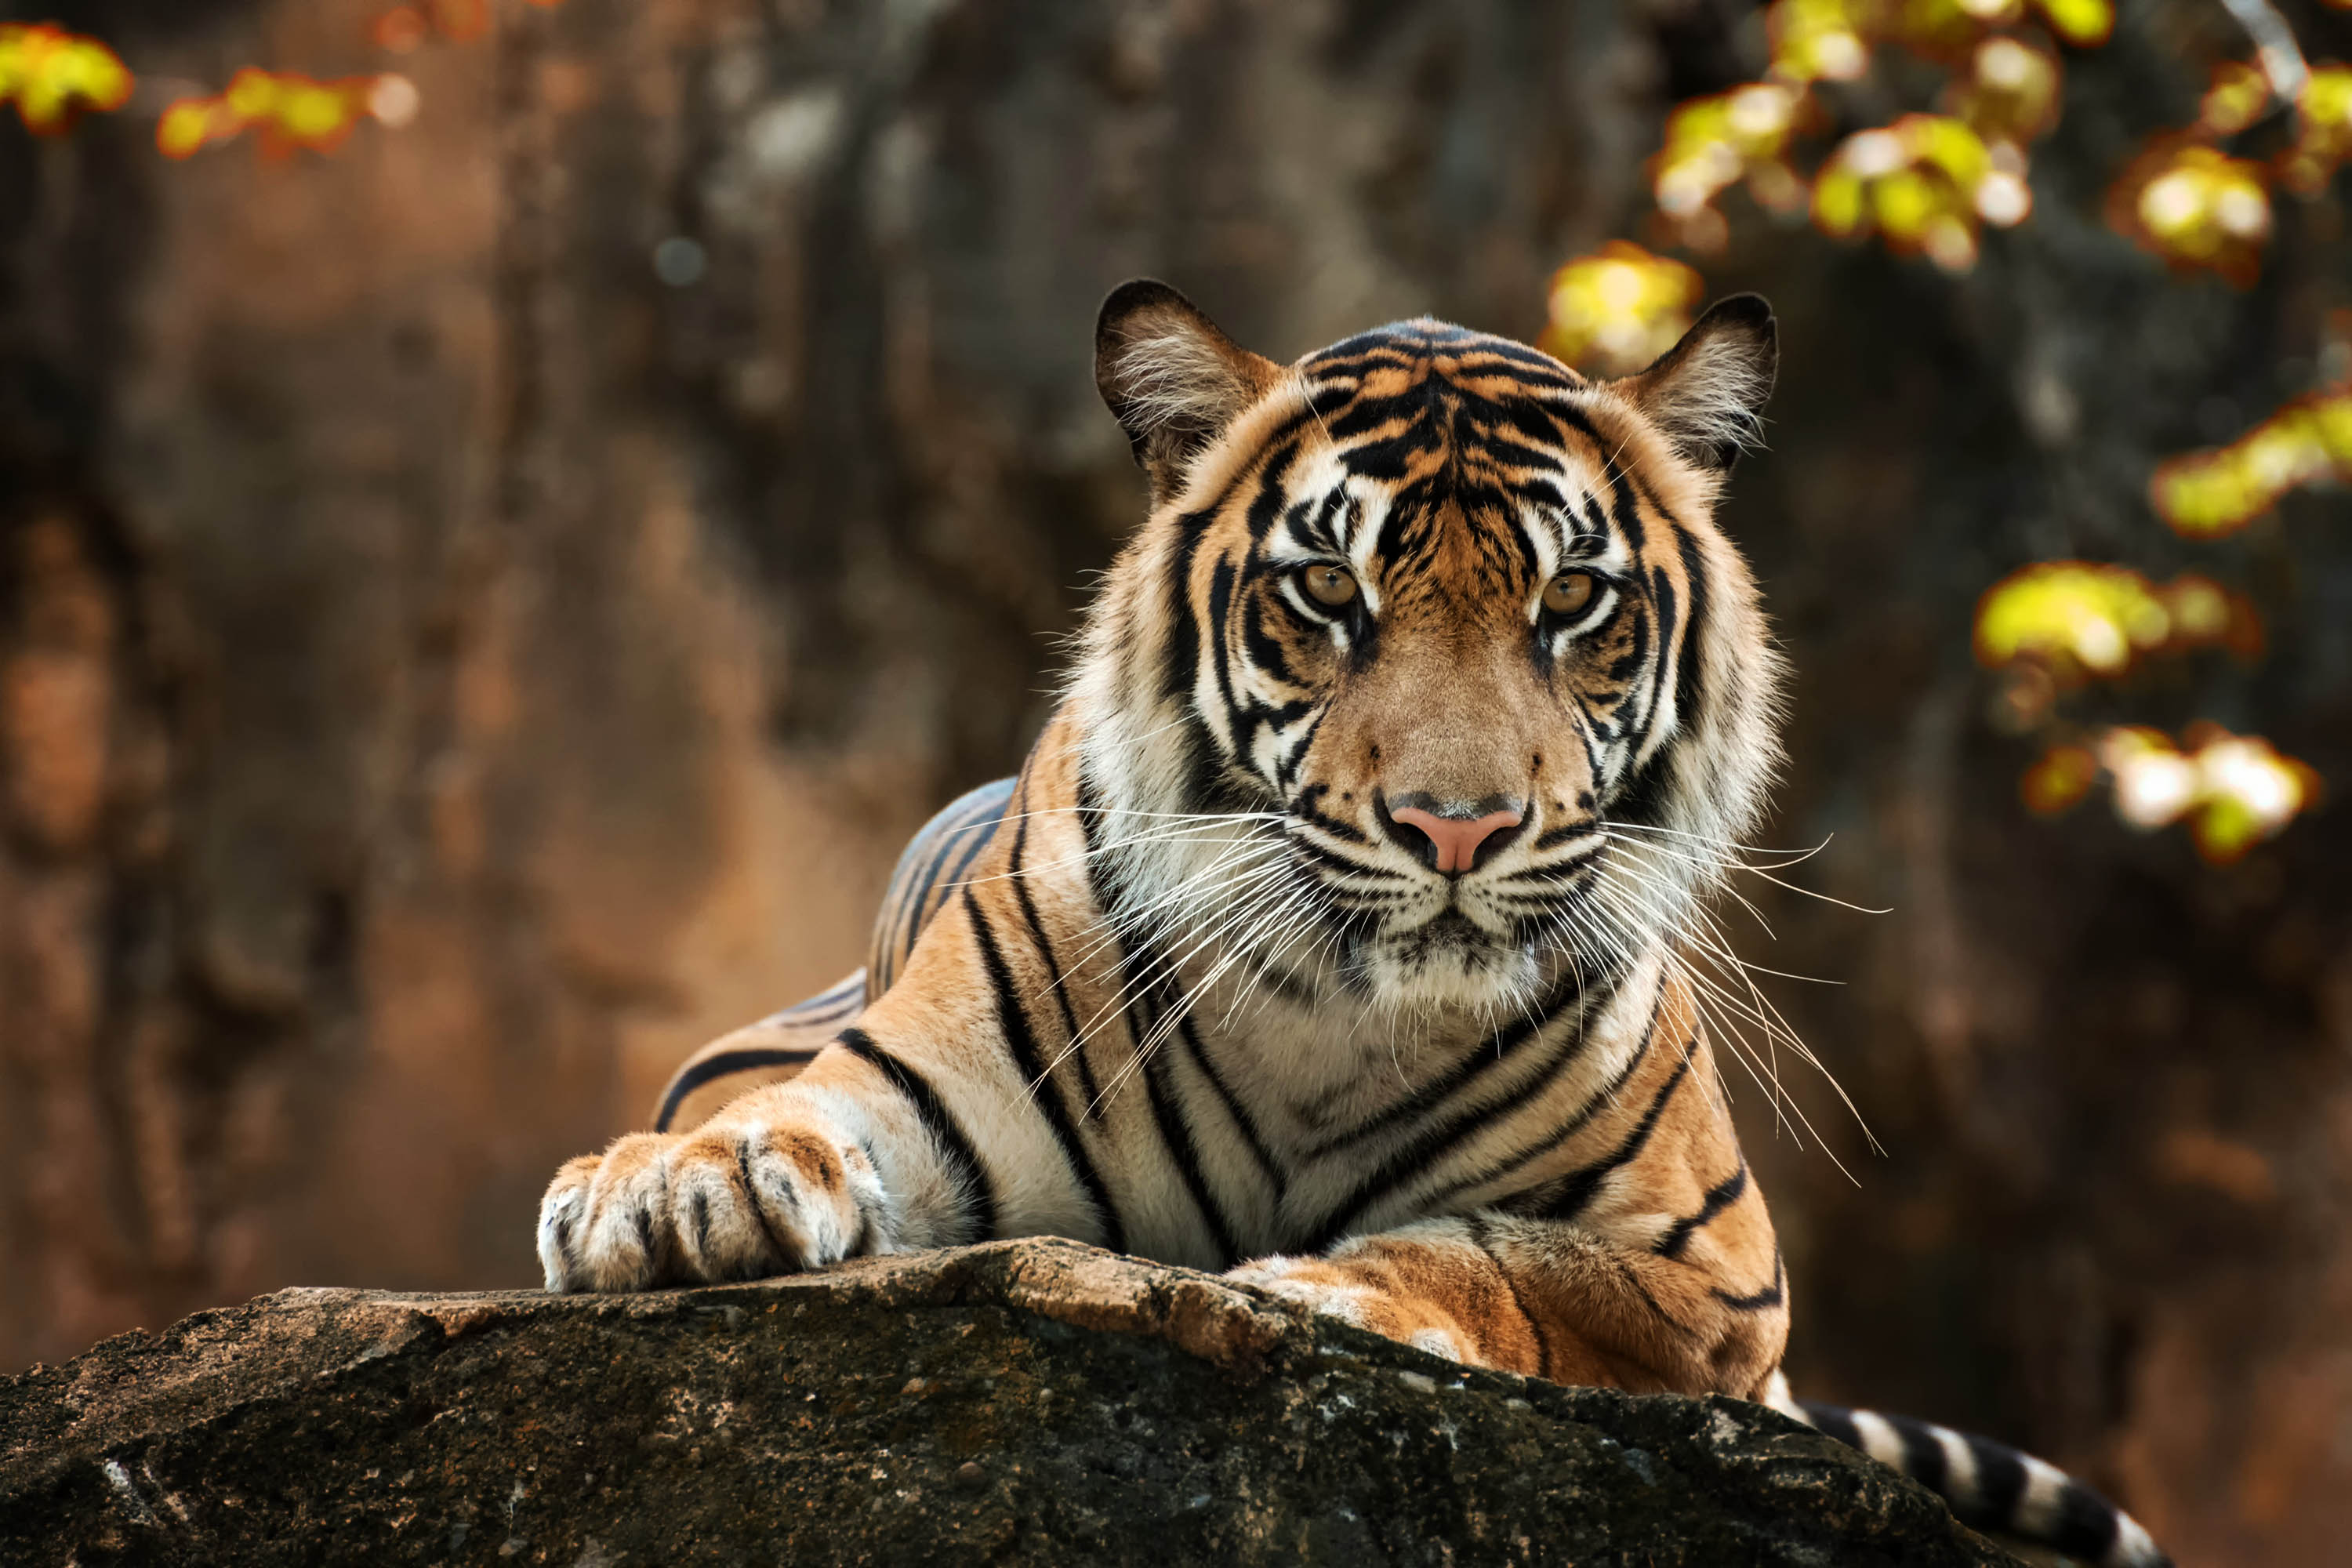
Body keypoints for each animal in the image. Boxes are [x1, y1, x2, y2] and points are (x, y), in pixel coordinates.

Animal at [539, 281, 2164, 1568]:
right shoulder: (910, 1082)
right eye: (1329, 589)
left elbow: (1503, 1262)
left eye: (1574, 600)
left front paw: (1317, 1291)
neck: (1331, 1017)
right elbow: (790, 1124)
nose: (1457, 828)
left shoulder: (1716, 1279)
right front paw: (673, 1193)